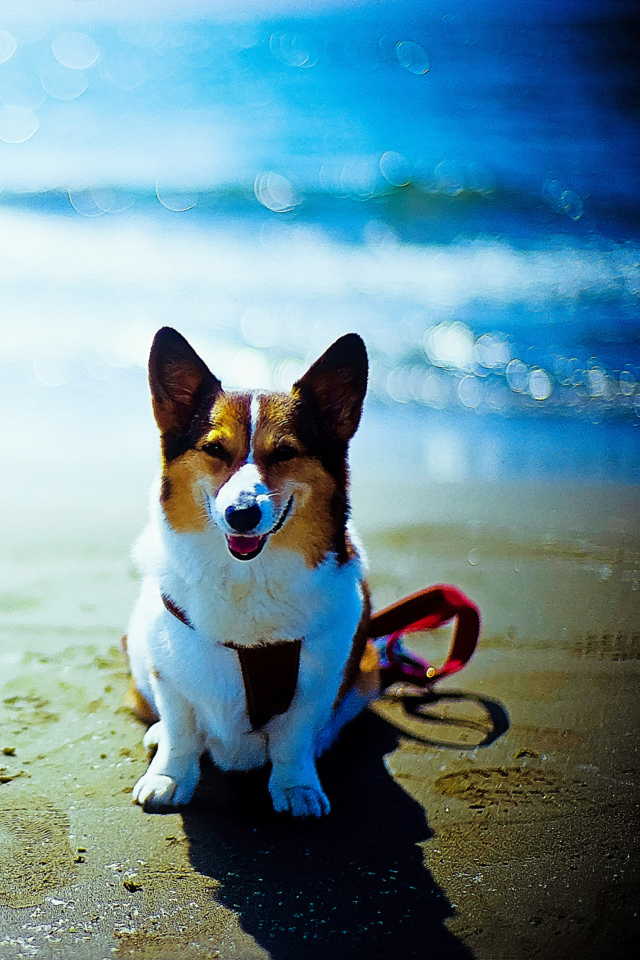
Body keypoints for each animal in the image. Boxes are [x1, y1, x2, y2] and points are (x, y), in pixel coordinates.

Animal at [124, 326, 380, 812]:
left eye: (284, 453)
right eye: (214, 449)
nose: (242, 514)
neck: (248, 580)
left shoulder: (315, 688)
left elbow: (293, 742)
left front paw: (297, 787)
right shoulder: (170, 675)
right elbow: (181, 732)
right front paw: (169, 777)